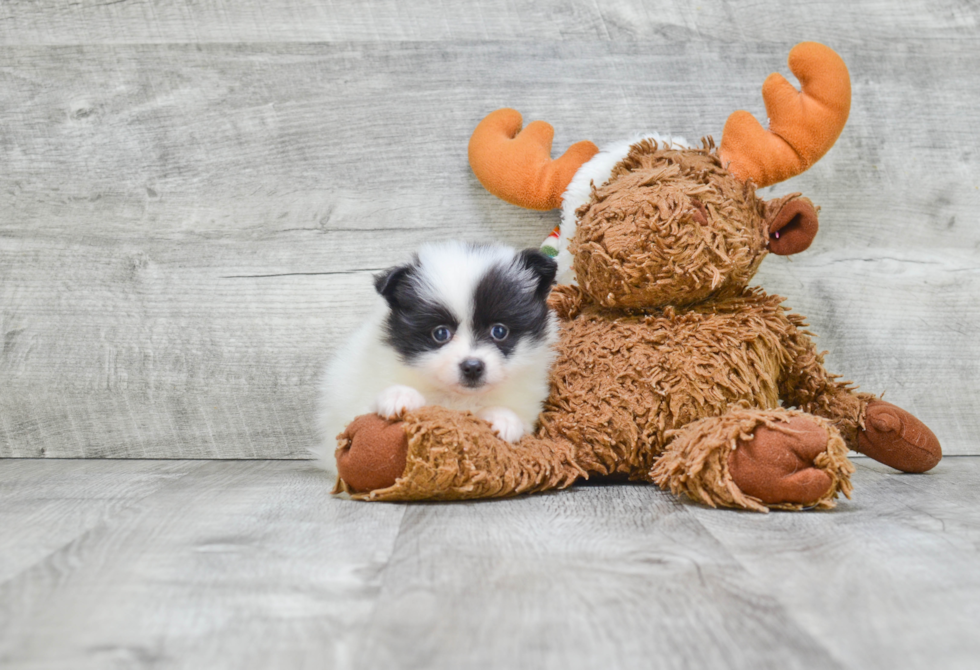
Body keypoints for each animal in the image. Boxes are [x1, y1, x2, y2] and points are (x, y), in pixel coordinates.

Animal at [316, 243, 556, 472]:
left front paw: (503, 419)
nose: (472, 367)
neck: (457, 398)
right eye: (440, 333)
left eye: (499, 331)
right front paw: (399, 396)